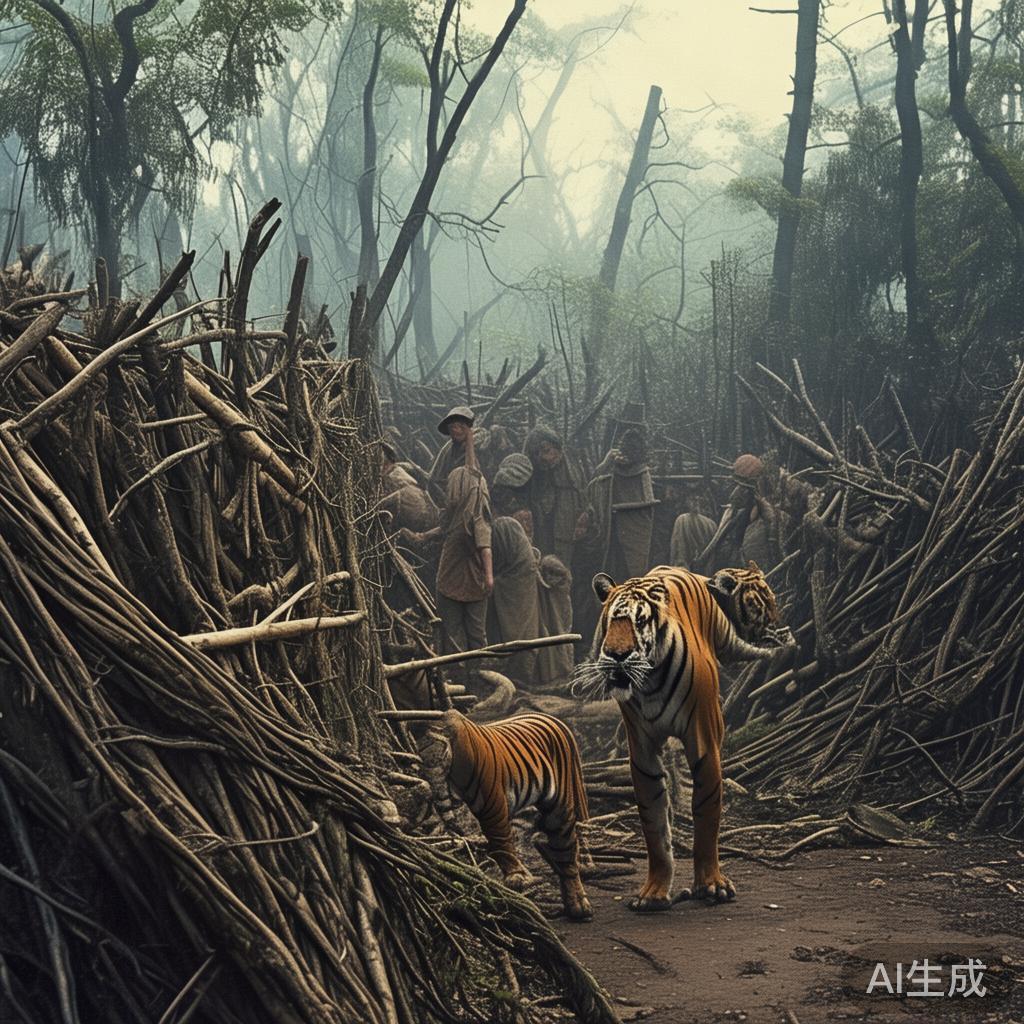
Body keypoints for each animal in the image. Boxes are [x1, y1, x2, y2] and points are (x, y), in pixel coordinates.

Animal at [425, 708, 592, 921]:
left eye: (441, 760)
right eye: (423, 767)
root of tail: (555, 720)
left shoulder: (491, 803)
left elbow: (499, 839)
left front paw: (516, 876)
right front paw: (521, 876)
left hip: (559, 802)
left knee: (565, 846)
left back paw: (579, 905)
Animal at [574, 562, 794, 913]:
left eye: (639, 621)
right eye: (612, 621)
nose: (616, 655)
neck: (649, 684)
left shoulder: (703, 741)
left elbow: (706, 814)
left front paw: (711, 884)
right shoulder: (643, 753)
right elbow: (653, 825)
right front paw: (654, 892)